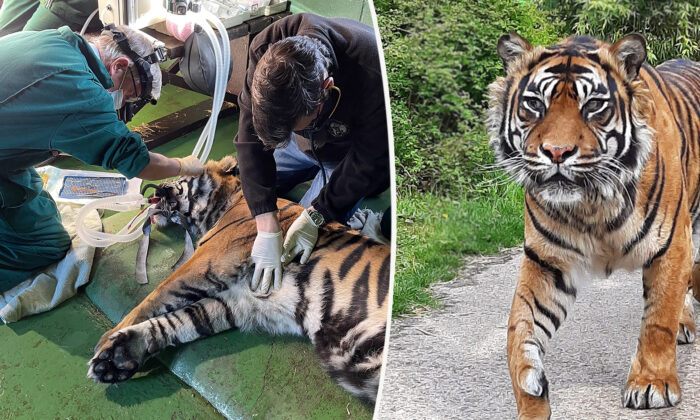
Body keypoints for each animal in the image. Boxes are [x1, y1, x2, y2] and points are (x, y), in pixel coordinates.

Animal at [86, 156, 391, 404]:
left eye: (177, 177)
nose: (154, 187)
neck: (223, 204)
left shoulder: (209, 260)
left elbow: (157, 295)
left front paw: (106, 338)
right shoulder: (241, 301)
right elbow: (181, 320)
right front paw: (117, 356)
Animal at [487, 32, 700, 418]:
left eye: (594, 107)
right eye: (534, 105)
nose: (556, 152)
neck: (592, 204)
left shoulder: (671, 244)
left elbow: (658, 318)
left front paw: (651, 384)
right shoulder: (546, 261)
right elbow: (519, 326)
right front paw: (530, 391)